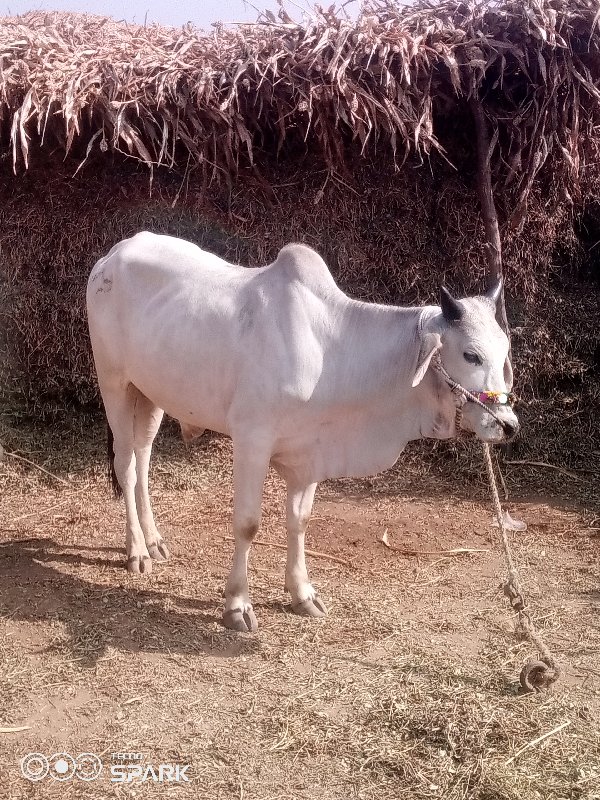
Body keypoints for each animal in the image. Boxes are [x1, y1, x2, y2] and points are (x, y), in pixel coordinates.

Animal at [86, 231, 516, 632]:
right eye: (470, 355)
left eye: (504, 350)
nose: (507, 425)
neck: (330, 352)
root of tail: (115, 252)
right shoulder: (252, 440)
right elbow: (248, 523)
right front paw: (237, 605)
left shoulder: (309, 452)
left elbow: (299, 520)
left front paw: (302, 594)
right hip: (114, 383)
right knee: (126, 466)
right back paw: (137, 551)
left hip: (150, 393)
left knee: (143, 458)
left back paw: (154, 540)